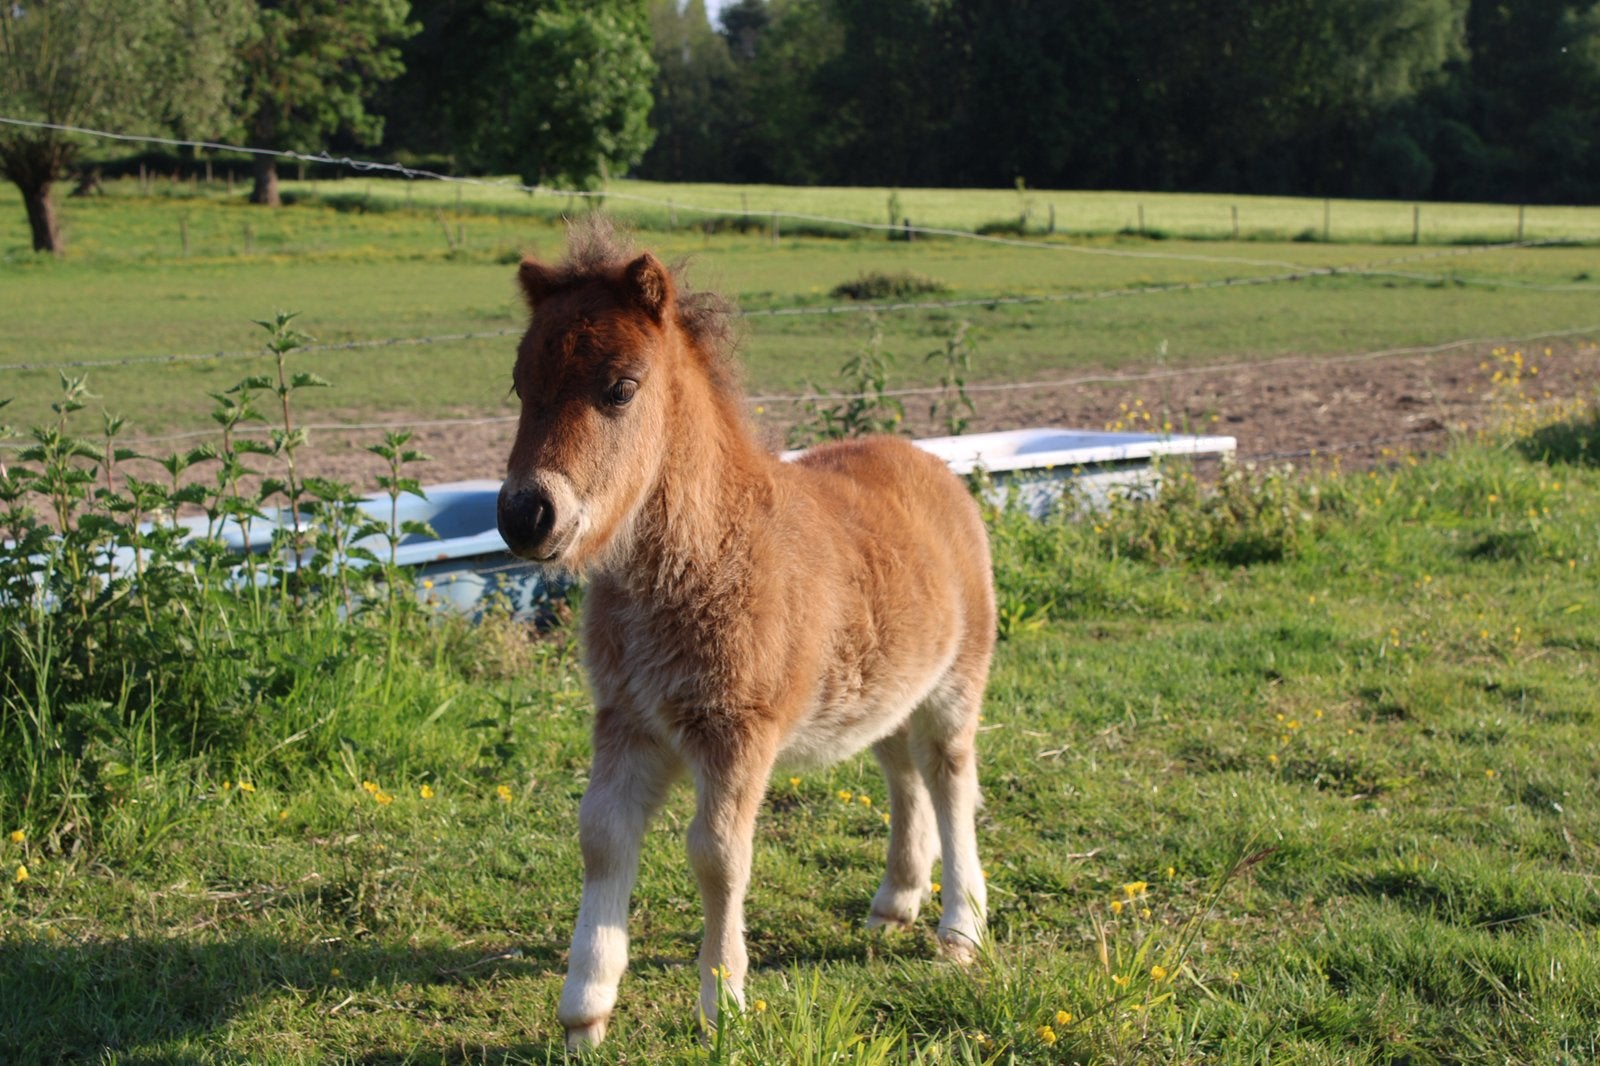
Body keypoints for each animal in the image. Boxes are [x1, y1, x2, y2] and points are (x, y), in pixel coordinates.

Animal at [496, 222, 996, 1049]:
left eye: (620, 387)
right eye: (519, 386)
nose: (525, 515)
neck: (700, 560)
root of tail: (930, 464)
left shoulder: (737, 730)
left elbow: (718, 856)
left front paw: (721, 1003)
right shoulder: (627, 720)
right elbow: (601, 836)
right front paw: (583, 1011)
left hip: (956, 684)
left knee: (951, 777)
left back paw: (959, 929)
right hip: (883, 686)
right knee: (903, 771)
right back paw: (896, 901)